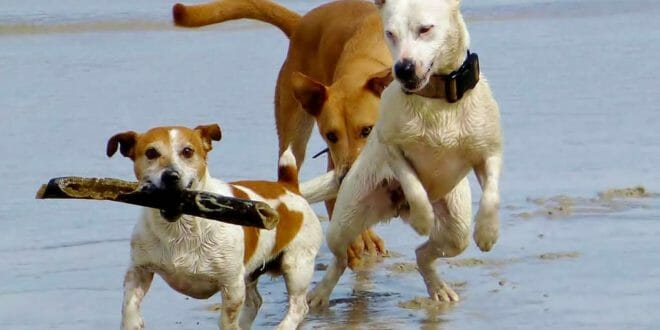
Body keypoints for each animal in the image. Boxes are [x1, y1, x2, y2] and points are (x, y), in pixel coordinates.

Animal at [106, 124, 322, 330]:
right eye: (151, 152)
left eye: (187, 151)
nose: (171, 175)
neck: (180, 228)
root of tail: (288, 186)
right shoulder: (139, 270)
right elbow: (128, 306)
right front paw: (133, 323)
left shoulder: (232, 285)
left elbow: (227, 321)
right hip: (251, 273)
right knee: (255, 301)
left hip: (296, 265)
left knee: (299, 306)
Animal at [302, 0, 502, 306]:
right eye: (390, 34)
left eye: (425, 29)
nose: (403, 69)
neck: (436, 100)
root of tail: (395, 209)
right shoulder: (393, 150)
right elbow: (413, 185)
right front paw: (422, 217)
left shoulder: (489, 153)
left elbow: (491, 192)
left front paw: (488, 231)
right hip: (344, 221)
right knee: (340, 257)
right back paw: (320, 293)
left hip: (455, 230)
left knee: (425, 253)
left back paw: (438, 287)